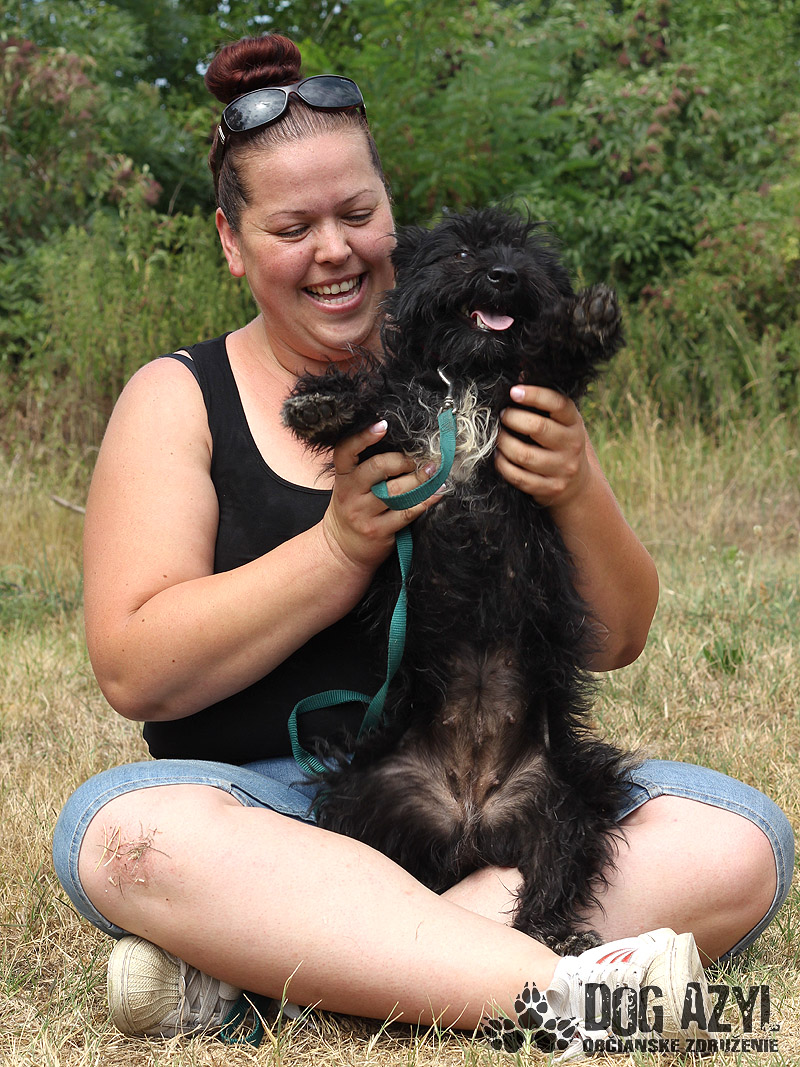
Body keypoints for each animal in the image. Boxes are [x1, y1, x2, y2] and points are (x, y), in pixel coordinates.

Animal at [282, 206, 636, 951]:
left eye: (524, 254)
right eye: (466, 252)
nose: (502, 275)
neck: (468, 378)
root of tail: (470, 817)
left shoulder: (532, 395)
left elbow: (548, 357)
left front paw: (585, 321)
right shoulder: (399, 422)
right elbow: (367, 406)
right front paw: (321, 402)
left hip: (566, 799)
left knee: (555, 873)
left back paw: (556, 938)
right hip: (365, 796)